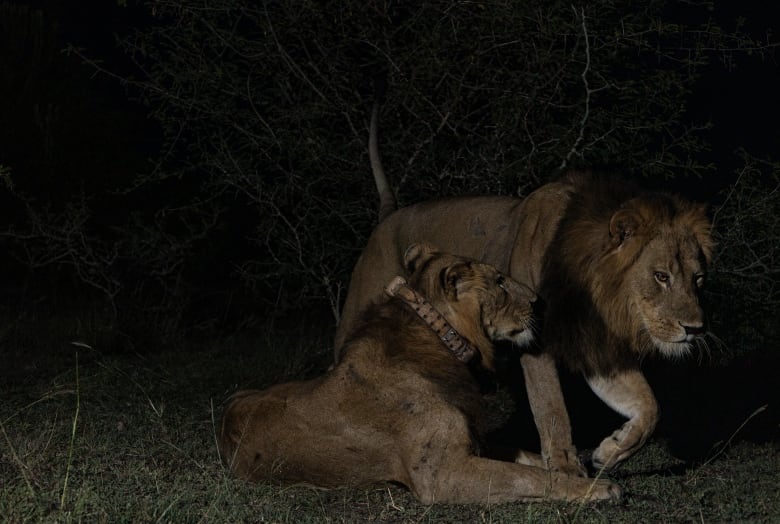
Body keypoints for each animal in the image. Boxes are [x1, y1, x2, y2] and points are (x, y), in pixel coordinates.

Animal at [219, 246, 620, 504]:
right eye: (500, 281)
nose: (540, 302)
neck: (441, 340)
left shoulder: (472, 442)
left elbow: (529, 459)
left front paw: (578, 469)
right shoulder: (441, 474)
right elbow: (527, 476)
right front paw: (600, 489)